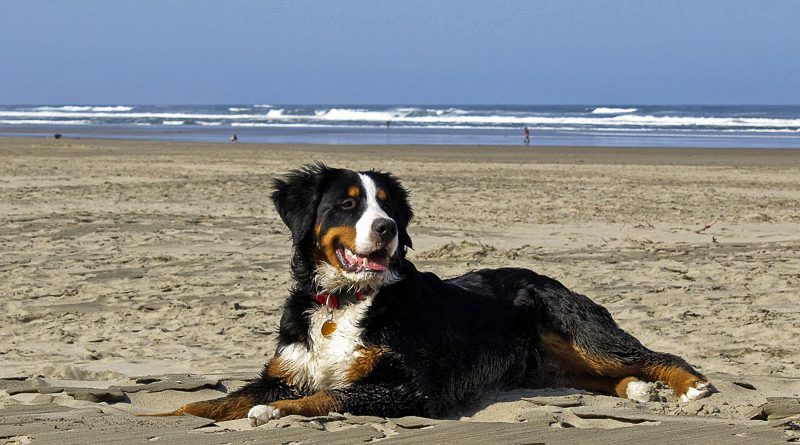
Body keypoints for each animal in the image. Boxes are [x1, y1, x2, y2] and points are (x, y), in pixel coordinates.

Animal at [159, 162, 708, 424]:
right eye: (348, 205)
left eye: (387, 207)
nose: (386, 229)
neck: (345, 301)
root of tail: (547, 277)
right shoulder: (283, 373)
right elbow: (208, 405)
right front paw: (160, 416)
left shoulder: (411, 386)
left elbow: (331, 395)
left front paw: (274, 413)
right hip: (552, 365)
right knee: (602, 378)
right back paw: (636, 389)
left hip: (580, 332)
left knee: (655, 355)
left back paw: (690, 386)